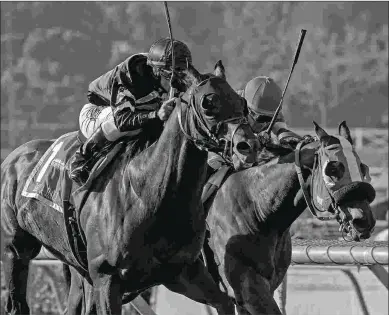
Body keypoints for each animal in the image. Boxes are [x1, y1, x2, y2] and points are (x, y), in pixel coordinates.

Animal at [2, 61, 260, 315]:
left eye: (242, 103)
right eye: (208, 104)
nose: (248, 146)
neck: (149, 194)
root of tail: (12, 158)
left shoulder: (183, 271)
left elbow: (224, 302)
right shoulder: (107, 278)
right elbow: (123, 115)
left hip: (77, 266)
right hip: (17, 249)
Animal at [61, 121, 376, 315]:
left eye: (363, 167)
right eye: (333, 169)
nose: (364, 221)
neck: (259, 209)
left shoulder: (257, 287)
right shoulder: (247, 287)